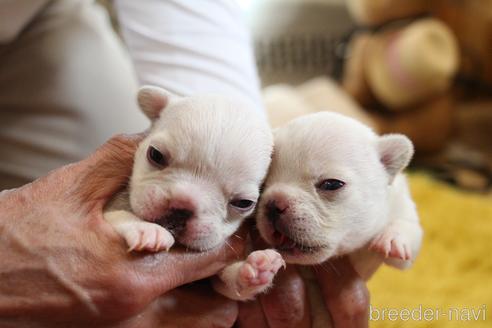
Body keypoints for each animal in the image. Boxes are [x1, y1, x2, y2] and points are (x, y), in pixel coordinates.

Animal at [104, 86, 284, 300]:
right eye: (155, 154)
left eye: (244, 203)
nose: (182, 205)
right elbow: (118, 214)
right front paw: (145, 229)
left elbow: (227, 283)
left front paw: (255, 270)